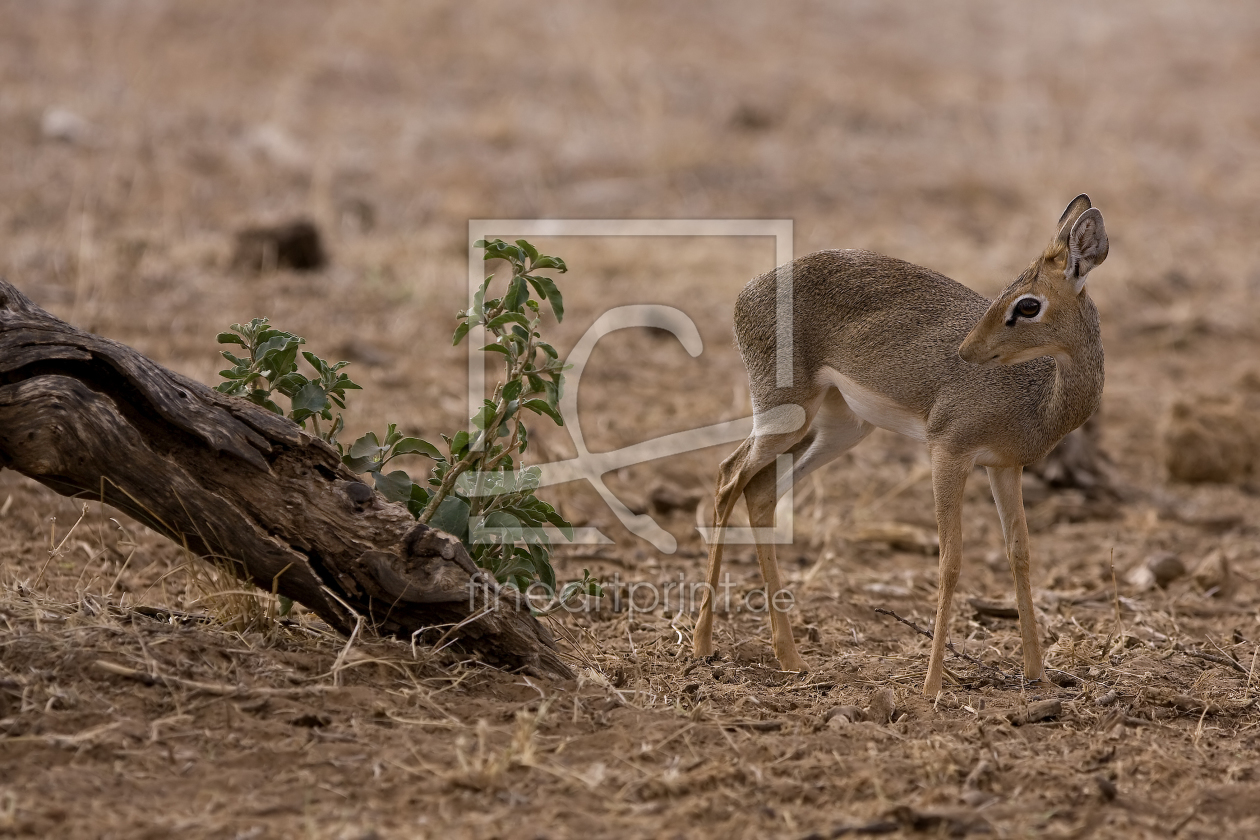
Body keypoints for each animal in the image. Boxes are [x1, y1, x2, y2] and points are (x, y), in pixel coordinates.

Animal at [695, 193, 1108, 695]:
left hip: (840, 428)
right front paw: (931, 686)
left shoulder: (1004, 466)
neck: (1039, 397)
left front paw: (1037, 674)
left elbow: (1020, 554)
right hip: (784, 415)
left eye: (1029, 304)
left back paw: (789, 657)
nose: (967, 351)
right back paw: (702, 644)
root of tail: (747, 292)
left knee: (760, 490)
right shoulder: (948, 452)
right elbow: (950, 562)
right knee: (728, 475)